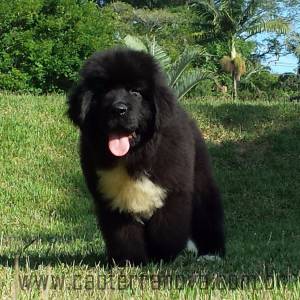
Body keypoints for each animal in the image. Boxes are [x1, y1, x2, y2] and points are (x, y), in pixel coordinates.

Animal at [67, 47, 224, 264]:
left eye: (136, 92)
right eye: (104, 91)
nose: (118, 109)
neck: (135, 156)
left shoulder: (171, 192)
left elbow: (167, 229)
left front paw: (163, 257)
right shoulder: (112, 199)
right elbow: (123, 234)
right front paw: (130, 261)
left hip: (201, 180)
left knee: (207, 212)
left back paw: (211, 253)